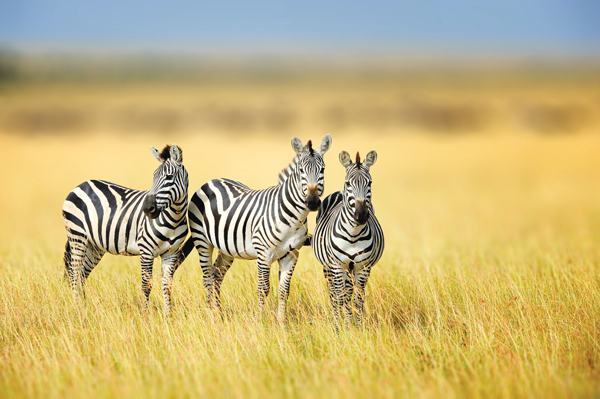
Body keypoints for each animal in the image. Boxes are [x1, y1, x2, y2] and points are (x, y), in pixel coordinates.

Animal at [61, 144, 188, 316]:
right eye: (153, 177)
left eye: (169, 177)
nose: (147, 209)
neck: (174, 219)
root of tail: (81, 185)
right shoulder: (146, 249)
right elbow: (146, 285)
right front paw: (145, 316)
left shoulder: (171, 252)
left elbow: (167, 286)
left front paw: (168, 317)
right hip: (77, 237)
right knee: (74, 273)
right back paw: (77, 309)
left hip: (95, 246)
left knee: (82, 274)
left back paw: (84, 307)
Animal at [180, 134, 332, 324]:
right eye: (301, 171)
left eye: (323, 170)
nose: (312, 202)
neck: (294, 218)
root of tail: (212, 181)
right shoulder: (263, 254)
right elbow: (263, 289)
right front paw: (259, 322)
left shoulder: (291, 255)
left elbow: (284, 291)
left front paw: (282, 324)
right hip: (202, 241)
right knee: (207, 278)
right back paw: (211, 316)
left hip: (227, 249)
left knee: (217, 275)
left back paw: (219, 314)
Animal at [312, 150, 382, 332]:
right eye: (348, 183)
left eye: (370, 183)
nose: (361, 215)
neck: (353, 235)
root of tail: (338, 192)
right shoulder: (337, 265)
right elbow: (340, 297)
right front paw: (342, 329)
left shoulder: (363, 267)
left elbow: (358, 299)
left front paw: (357, 327)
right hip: (329, 267)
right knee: (333, 294)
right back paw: (336, 321)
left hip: (351, 269)